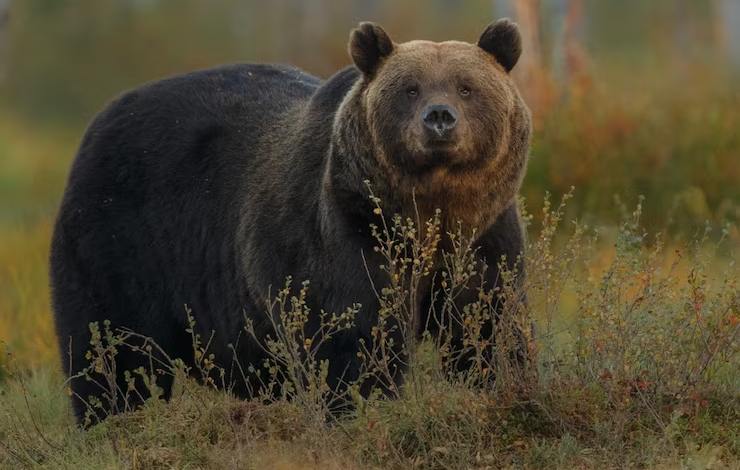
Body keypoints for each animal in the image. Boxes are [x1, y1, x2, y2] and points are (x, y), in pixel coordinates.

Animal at [49, 18, 528, 424]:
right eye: (409, 89)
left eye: (467, 87)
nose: (439, 118)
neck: (428, 212)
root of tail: (102, 117)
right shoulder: (343, 227)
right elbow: (350, 334)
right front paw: (362, 405)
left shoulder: (485, 235)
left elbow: (490, 321)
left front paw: (498, 382)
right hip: (118, 238)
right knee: (111, 348)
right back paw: (114, 419)